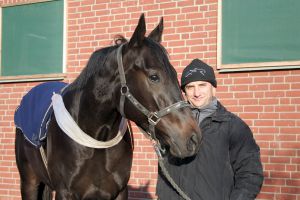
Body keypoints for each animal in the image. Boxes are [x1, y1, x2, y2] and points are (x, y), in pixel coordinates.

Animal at [14, 14, 202, 200]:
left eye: (175, 74)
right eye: (154, 77)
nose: (193, 138)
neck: (96, 139)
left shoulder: (119, 191)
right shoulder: (64, 193)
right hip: (29, 183)